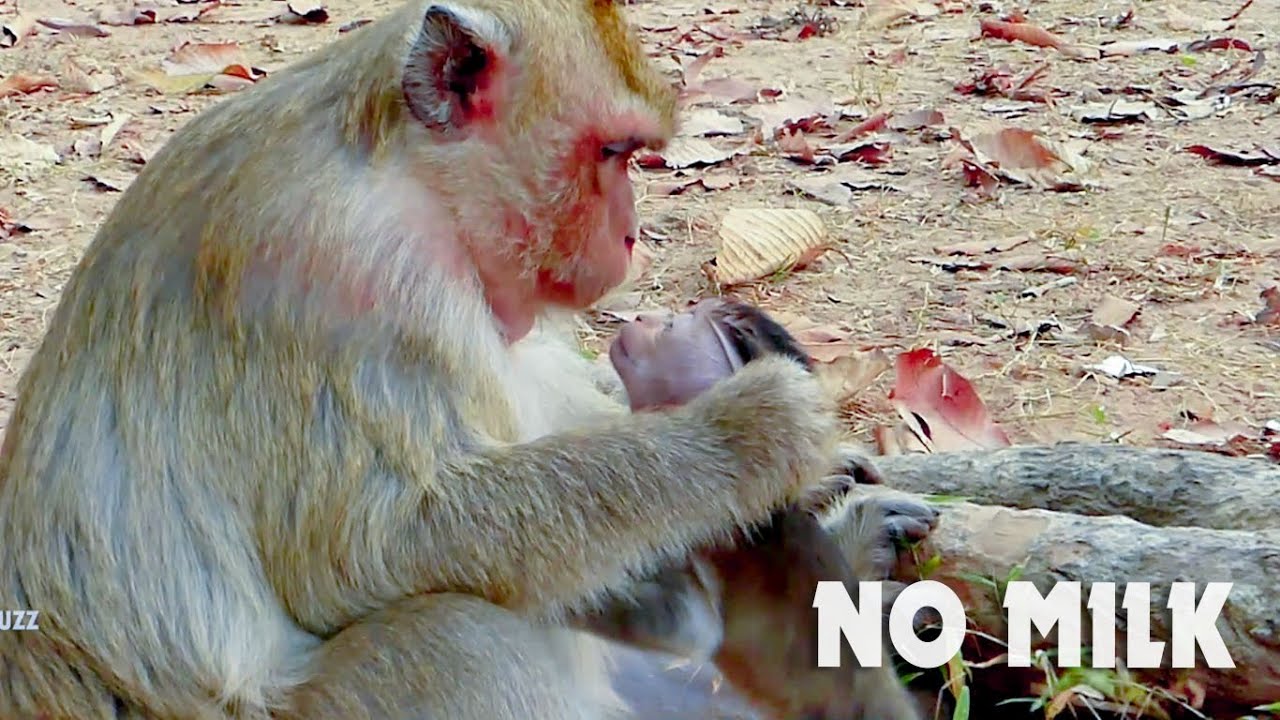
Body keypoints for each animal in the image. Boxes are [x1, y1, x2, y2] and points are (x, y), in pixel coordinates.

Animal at [0, 2, 853, 719]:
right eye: (611, 153)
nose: (632, 232)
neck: (408, 173)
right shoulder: (349, 273)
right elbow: (375, 545)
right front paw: (748, 435)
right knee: (465, 643)